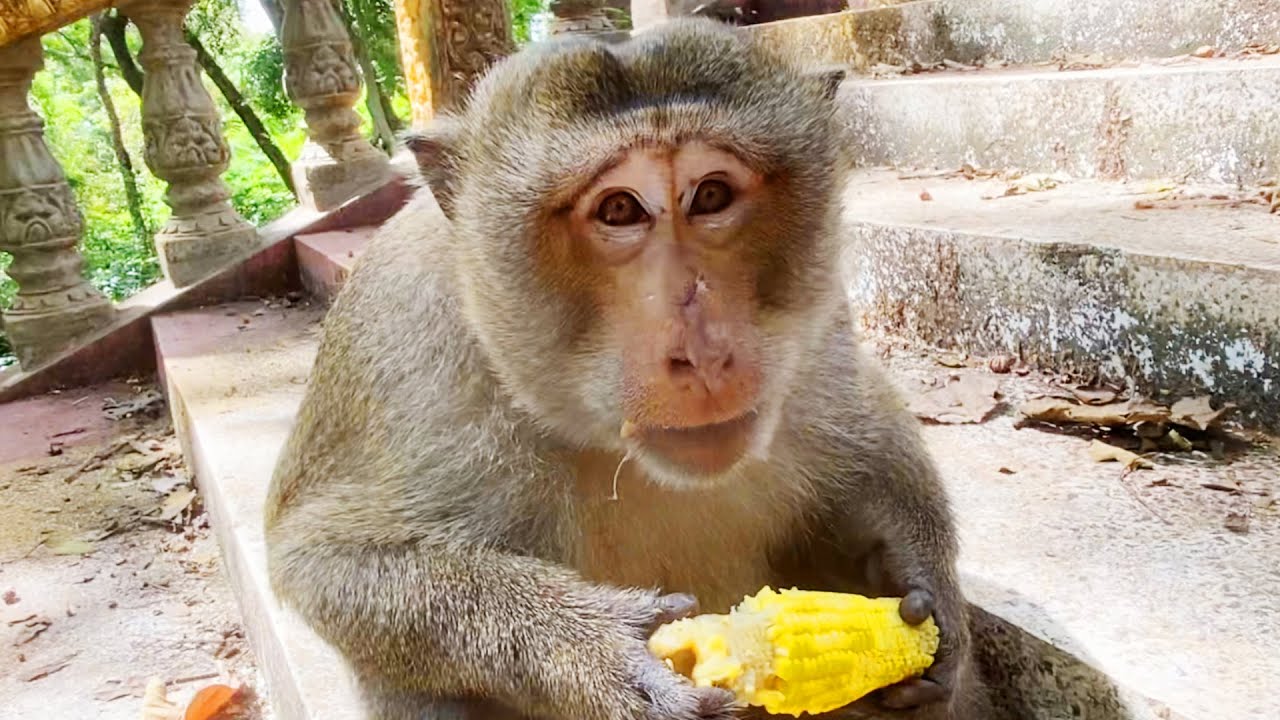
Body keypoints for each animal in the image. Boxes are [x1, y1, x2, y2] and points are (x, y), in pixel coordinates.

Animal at [264, 17, 985, 720]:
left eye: (711, 194)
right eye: (619, 209)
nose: (703, 350)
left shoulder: (818, 319)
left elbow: (871, 432)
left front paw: (917, 573)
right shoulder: (404, 338)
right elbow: (322, 558)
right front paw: (594, 646)